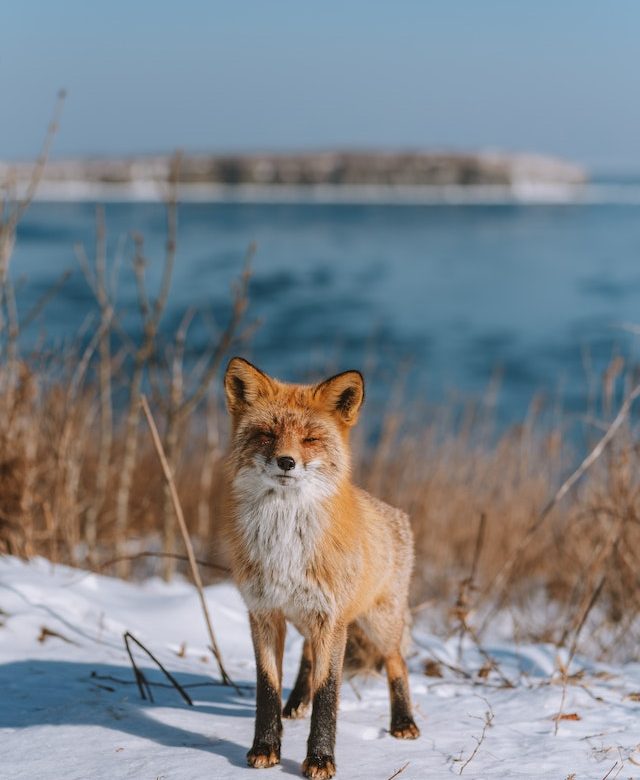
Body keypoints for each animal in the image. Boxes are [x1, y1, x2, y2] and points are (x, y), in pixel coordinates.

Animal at [222, 357, 420, 779]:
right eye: (266, 435)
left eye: (310, 439)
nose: (286, 461)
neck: (284, 543)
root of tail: (396, 514)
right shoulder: (264, 613)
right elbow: (267, 687)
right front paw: (265, 748)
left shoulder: (331, 619)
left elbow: (328, 692)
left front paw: (320, 759)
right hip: (304, 619)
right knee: (308, 656)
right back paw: (297, 702)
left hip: (377, 623)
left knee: (397, 662)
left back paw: (403, 722)